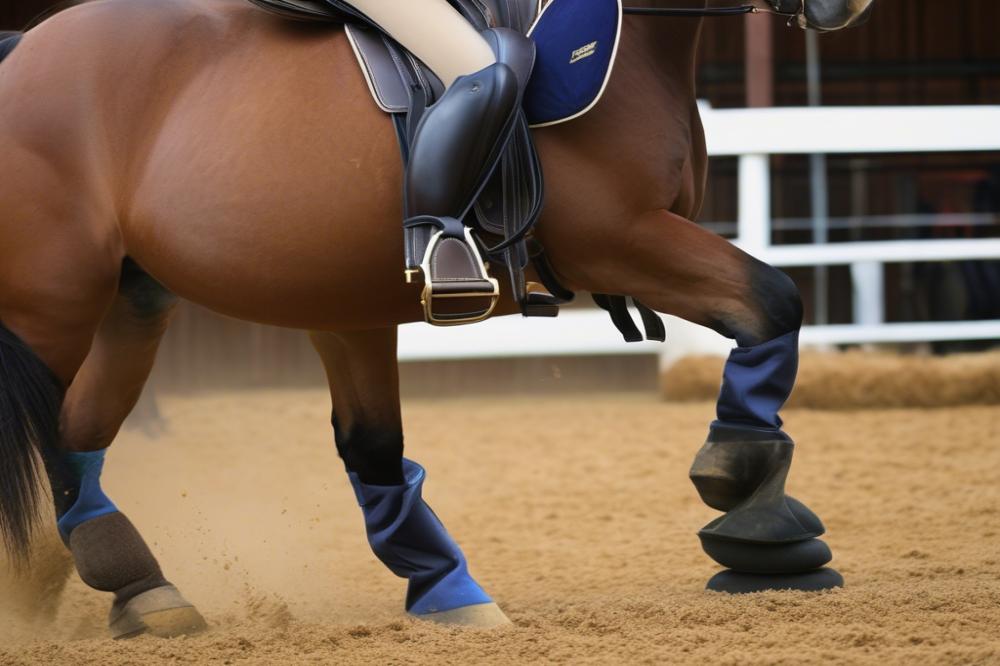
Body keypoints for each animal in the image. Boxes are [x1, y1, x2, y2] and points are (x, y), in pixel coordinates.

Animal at [0, 0, 876, 636]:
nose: (850, 7)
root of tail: (22, 49)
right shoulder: (620, 238)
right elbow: (774, 301)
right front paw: (749, 497)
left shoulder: (344, 306)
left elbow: (375, 453)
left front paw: (445, 587)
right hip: (49, 309)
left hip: (129, 303)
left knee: (75, 434)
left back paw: (129, 585)